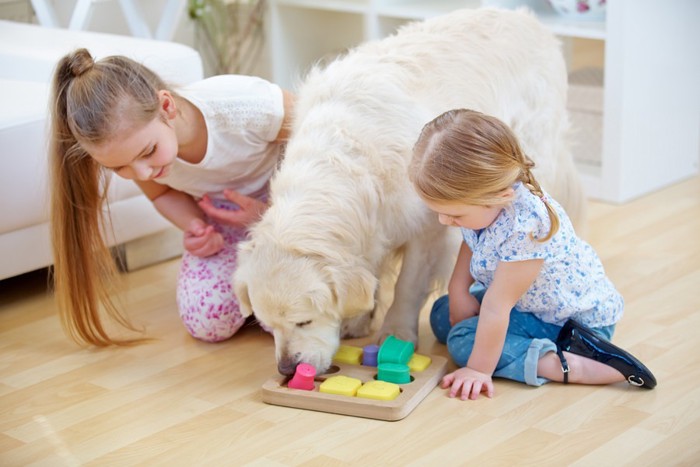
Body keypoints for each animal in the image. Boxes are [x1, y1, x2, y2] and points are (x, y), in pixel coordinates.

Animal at [232, 7, 584, 376]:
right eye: (268, 325)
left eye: (304, 321)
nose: (287, 369)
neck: (343, 158)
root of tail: (528, 17)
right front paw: (359, 317)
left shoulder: (428, 227)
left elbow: (408, 284)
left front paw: (396, 331)